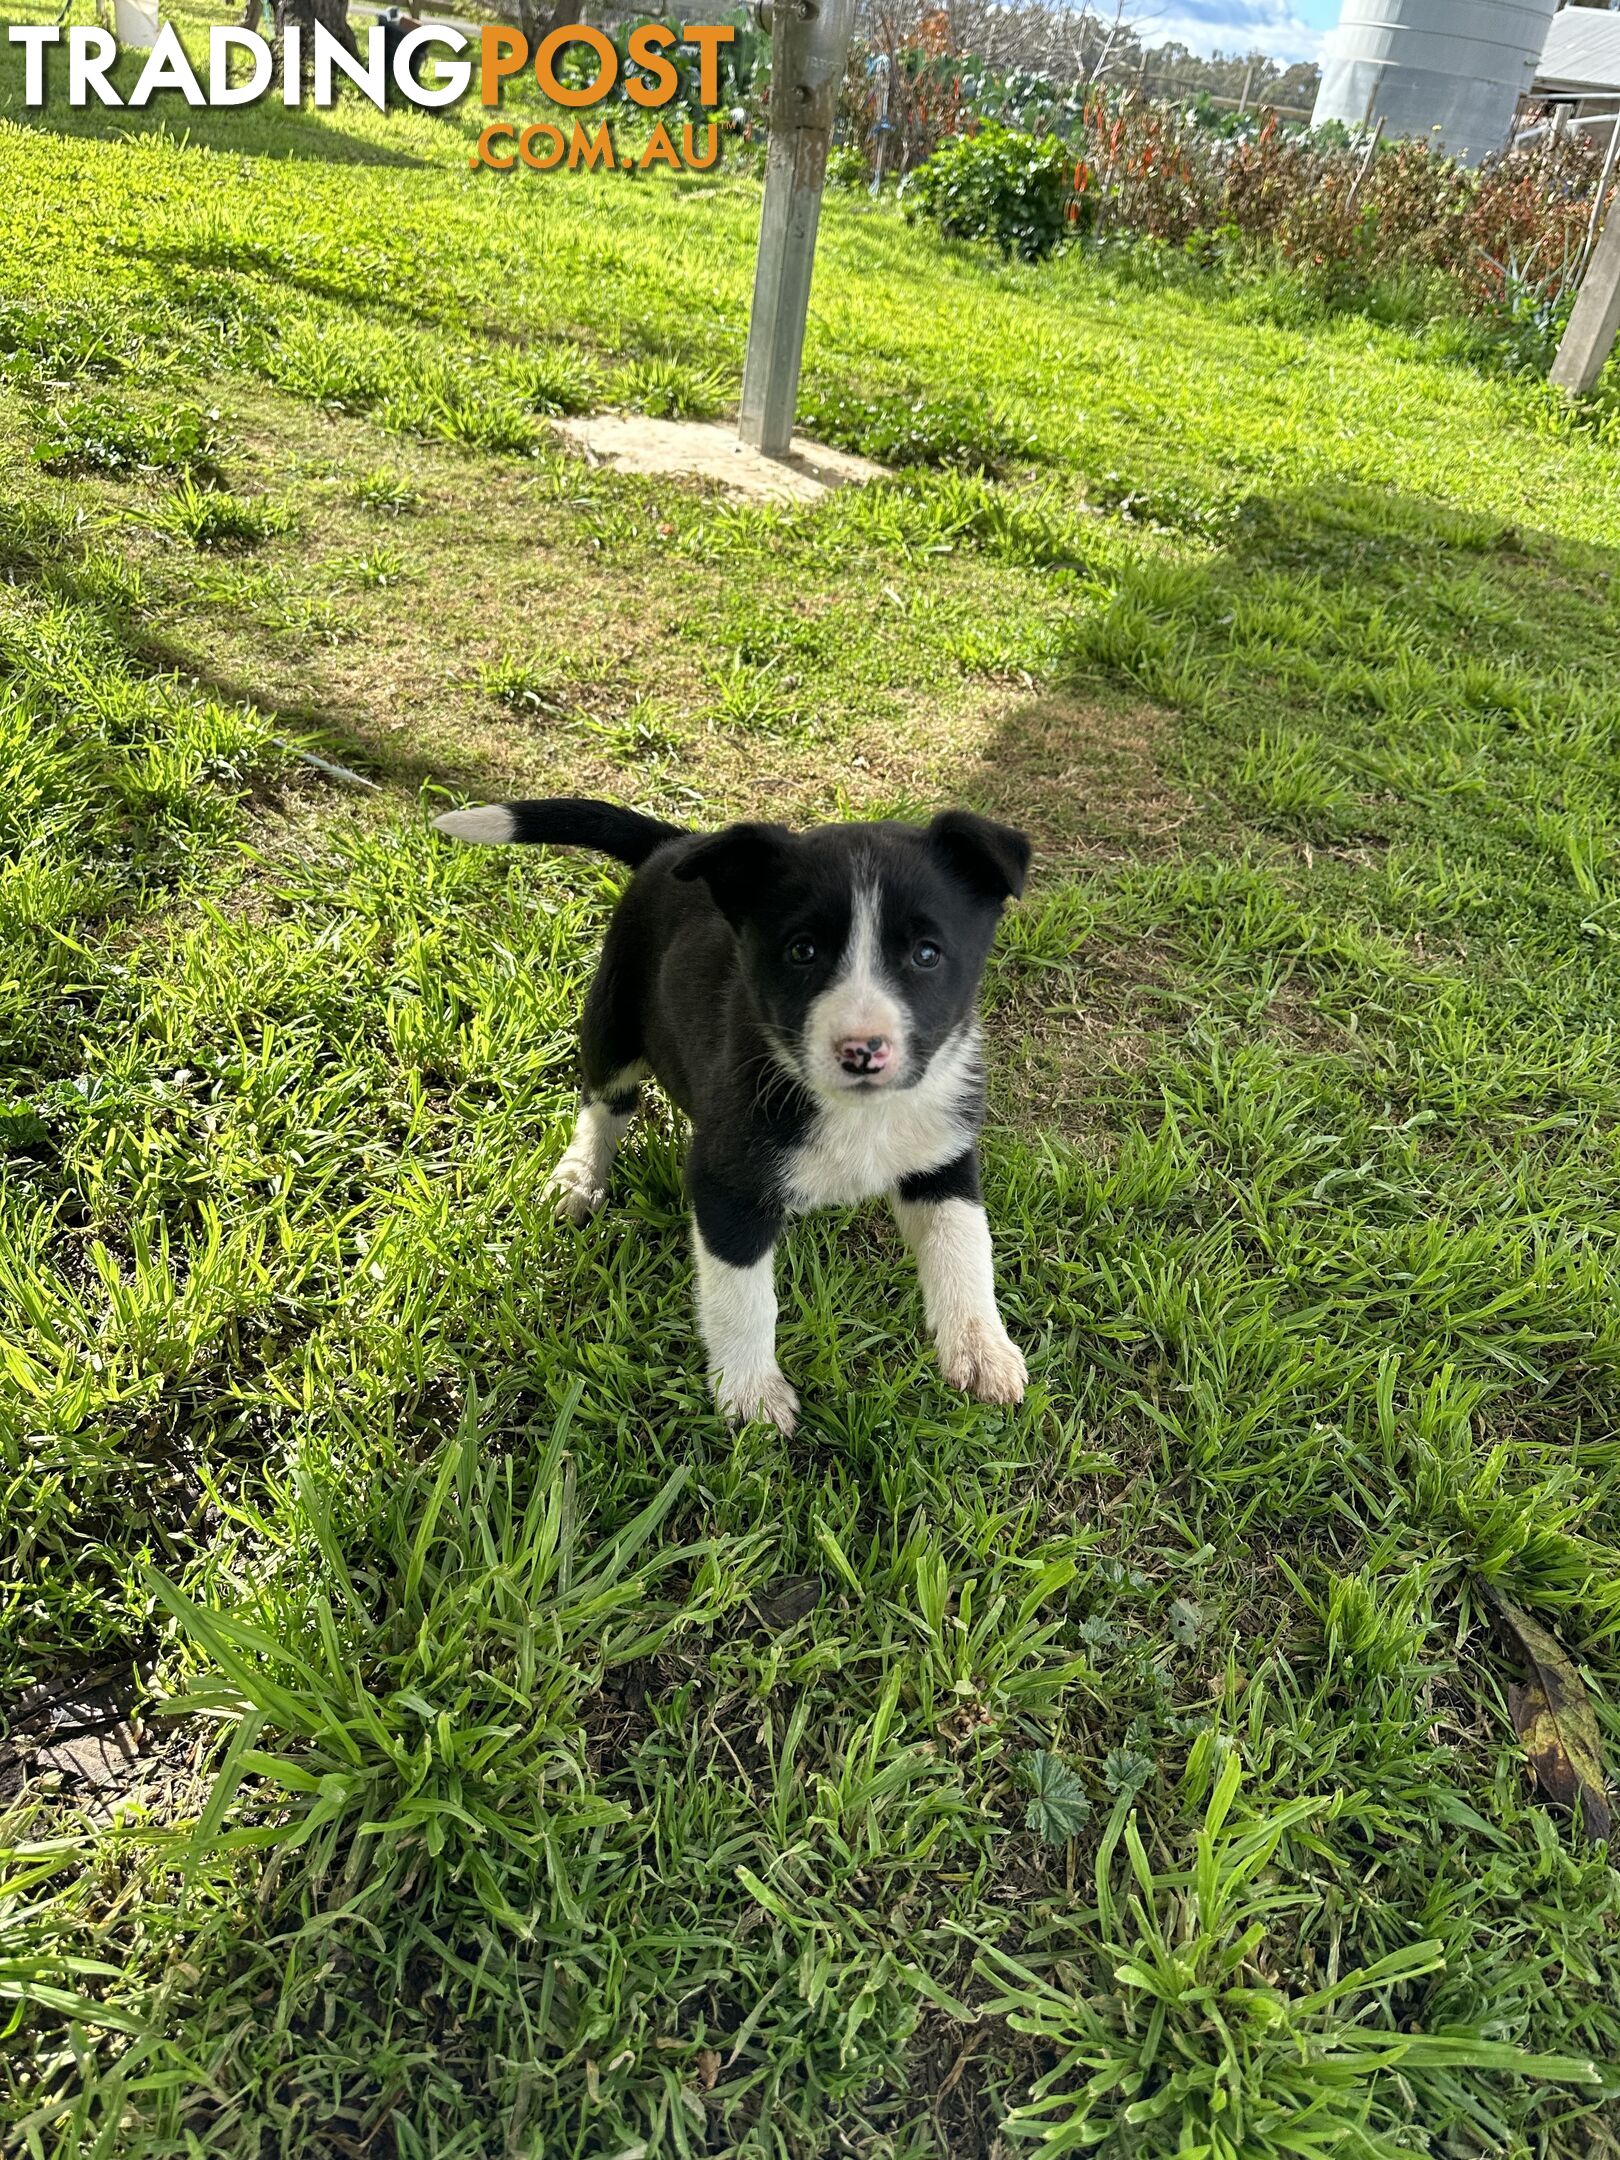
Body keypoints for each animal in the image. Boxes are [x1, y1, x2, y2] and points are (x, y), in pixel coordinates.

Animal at [438, 794, 1032, 1434]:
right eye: (802, 950)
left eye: (927, 954)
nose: (862, 1051)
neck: (858, 1113)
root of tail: (676, 844)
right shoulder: (726, 1183)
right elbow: (744, 1297)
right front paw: (751, 1396)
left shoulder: (943, 1154)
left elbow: (964, 1248)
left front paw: (982, 1351)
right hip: (615, 1009)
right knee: (604, 1100)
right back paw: (578, 1178)